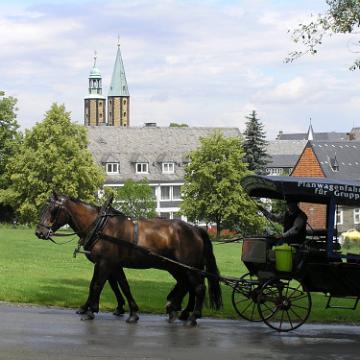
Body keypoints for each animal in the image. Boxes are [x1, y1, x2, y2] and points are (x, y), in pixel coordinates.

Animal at [35, 194, 222, 326]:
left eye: (52, 210)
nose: (39, 232)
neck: (101, 227)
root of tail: (196, 229)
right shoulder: (113, 265)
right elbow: (122, 285)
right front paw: (132, 312)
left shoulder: (105, 263)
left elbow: (98, 285)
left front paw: (90, 311)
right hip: (176, 267)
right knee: (185, 285)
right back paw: (174, 308)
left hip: (189, 267)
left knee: (198, 288)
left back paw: (192, 317)